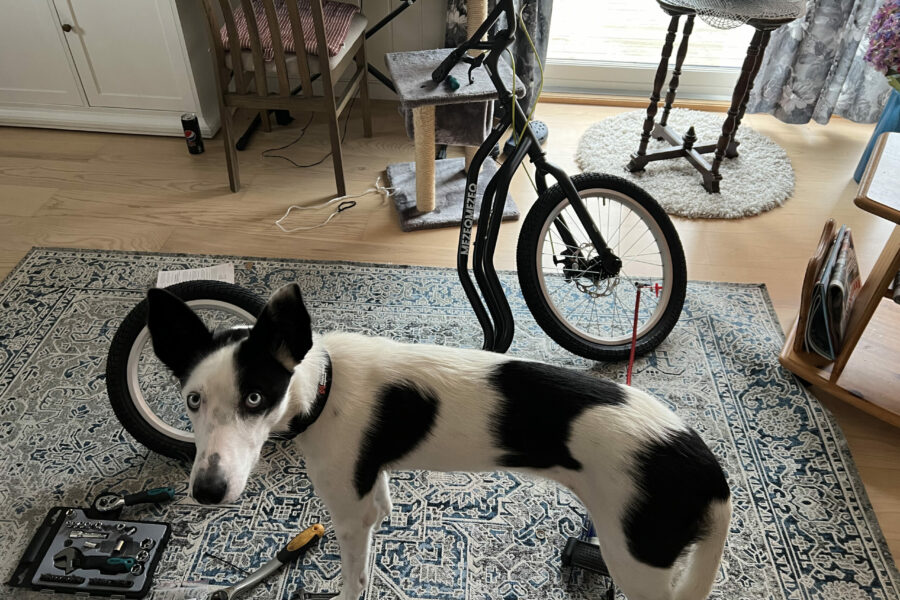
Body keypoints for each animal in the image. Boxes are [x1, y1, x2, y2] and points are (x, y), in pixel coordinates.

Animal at [144, 282, 728, 600]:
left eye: (256, 398)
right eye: (192, 401)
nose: (207, 492)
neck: (322, 387)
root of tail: (705, 465)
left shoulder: (349, 516)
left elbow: (354, 580)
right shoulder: (371, 497)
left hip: (637, 563)